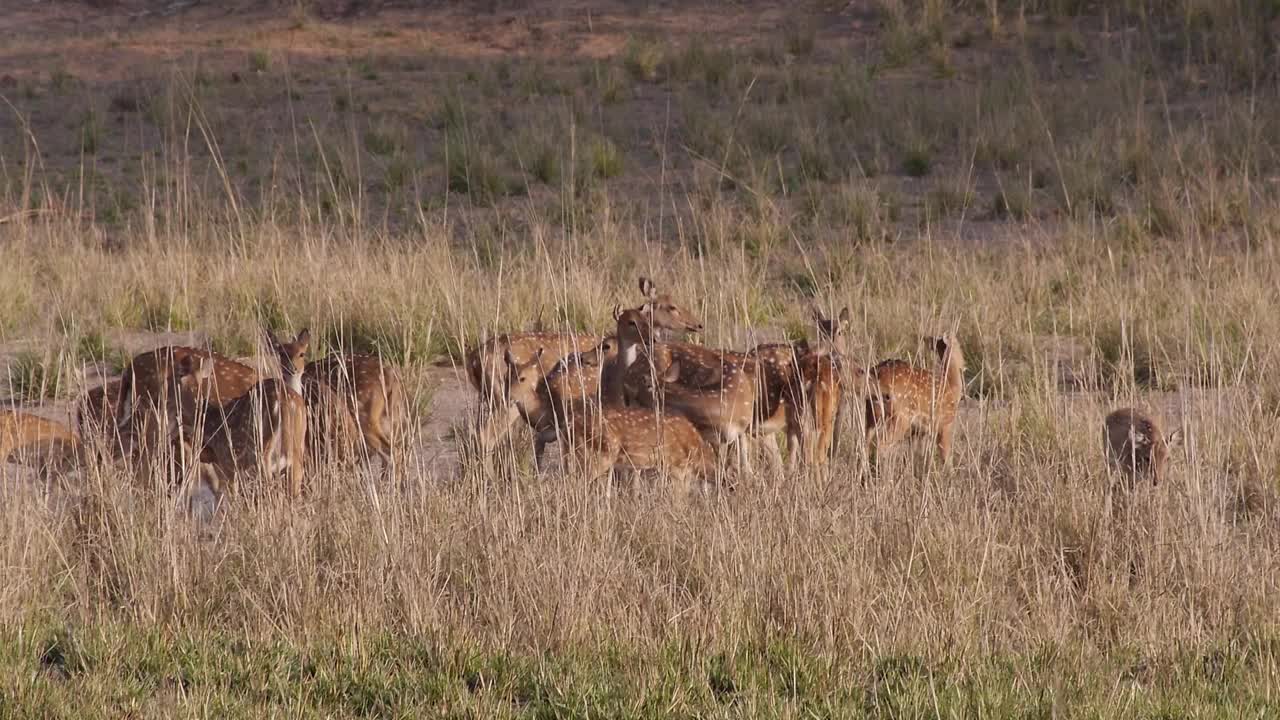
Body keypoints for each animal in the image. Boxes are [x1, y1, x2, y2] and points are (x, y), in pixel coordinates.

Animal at [865, 330, 962, 466]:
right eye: (957, 341)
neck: (952, 387)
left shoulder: (917, 433)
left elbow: (915, 455)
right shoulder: (945, 424)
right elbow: (946, 458)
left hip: (871, 411)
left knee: (866, 441)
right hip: (900, 416)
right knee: (881, 445)